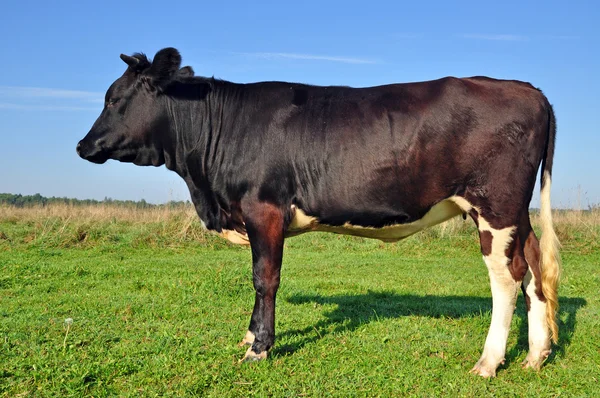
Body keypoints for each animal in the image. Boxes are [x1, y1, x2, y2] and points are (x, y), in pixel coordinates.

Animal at [77, 46, 560, 376]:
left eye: (114, 99)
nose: (83, 145)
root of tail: (526, 88)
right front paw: (250, 335)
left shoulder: (264, 209)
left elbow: (264, 278)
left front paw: (259, 347)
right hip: (516, 213)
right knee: (533, 265)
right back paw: (536, 355)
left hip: (494, 205)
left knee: (506, 277)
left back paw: (489, 361)